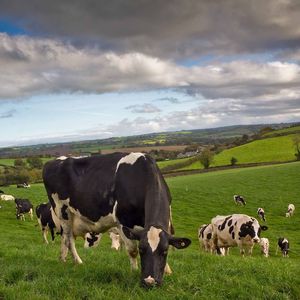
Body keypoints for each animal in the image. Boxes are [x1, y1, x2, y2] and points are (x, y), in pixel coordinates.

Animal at [42, 154, 191, 288]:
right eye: (142, 250)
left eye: (164, 251)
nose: (149, 282)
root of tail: (53, 161)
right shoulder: (123, 223)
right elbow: (132, 250)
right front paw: (134, 271)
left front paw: (167, 270)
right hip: (63, 211)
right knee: (68, 239)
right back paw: (78, 261)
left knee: (64, 238)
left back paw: (62, 259)